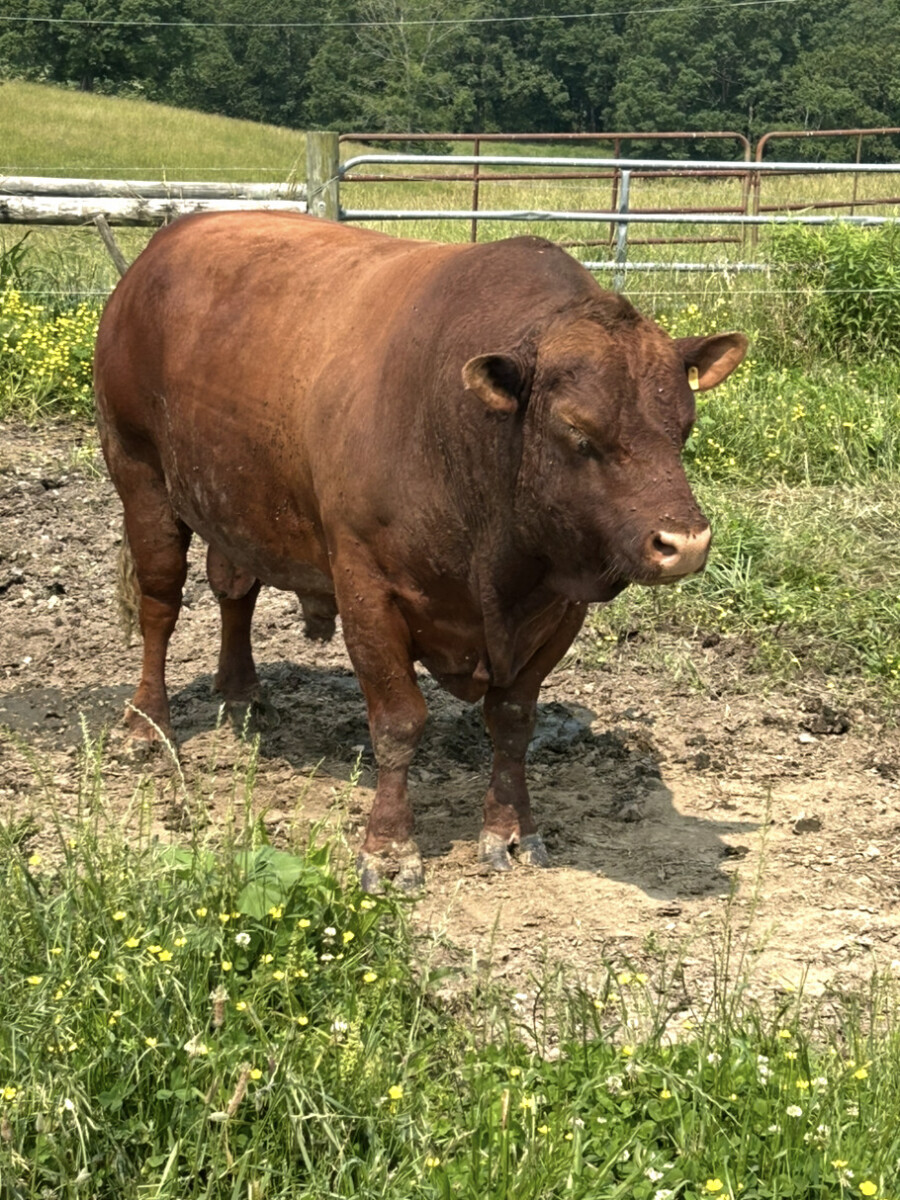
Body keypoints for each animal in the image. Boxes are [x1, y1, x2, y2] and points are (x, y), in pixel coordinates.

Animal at [94, 213, 747, 891]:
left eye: (684, 426)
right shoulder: (366, 587)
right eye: (577, 429)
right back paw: (145, 725)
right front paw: (389, 849)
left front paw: (511, 831)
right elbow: (399, 721)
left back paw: (243, 695)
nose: (685, 543)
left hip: (236, 498)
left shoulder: (559, 605)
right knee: (160, 605)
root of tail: (166, 242)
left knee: (234, 590)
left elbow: (513, 719)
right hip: (138, 470)